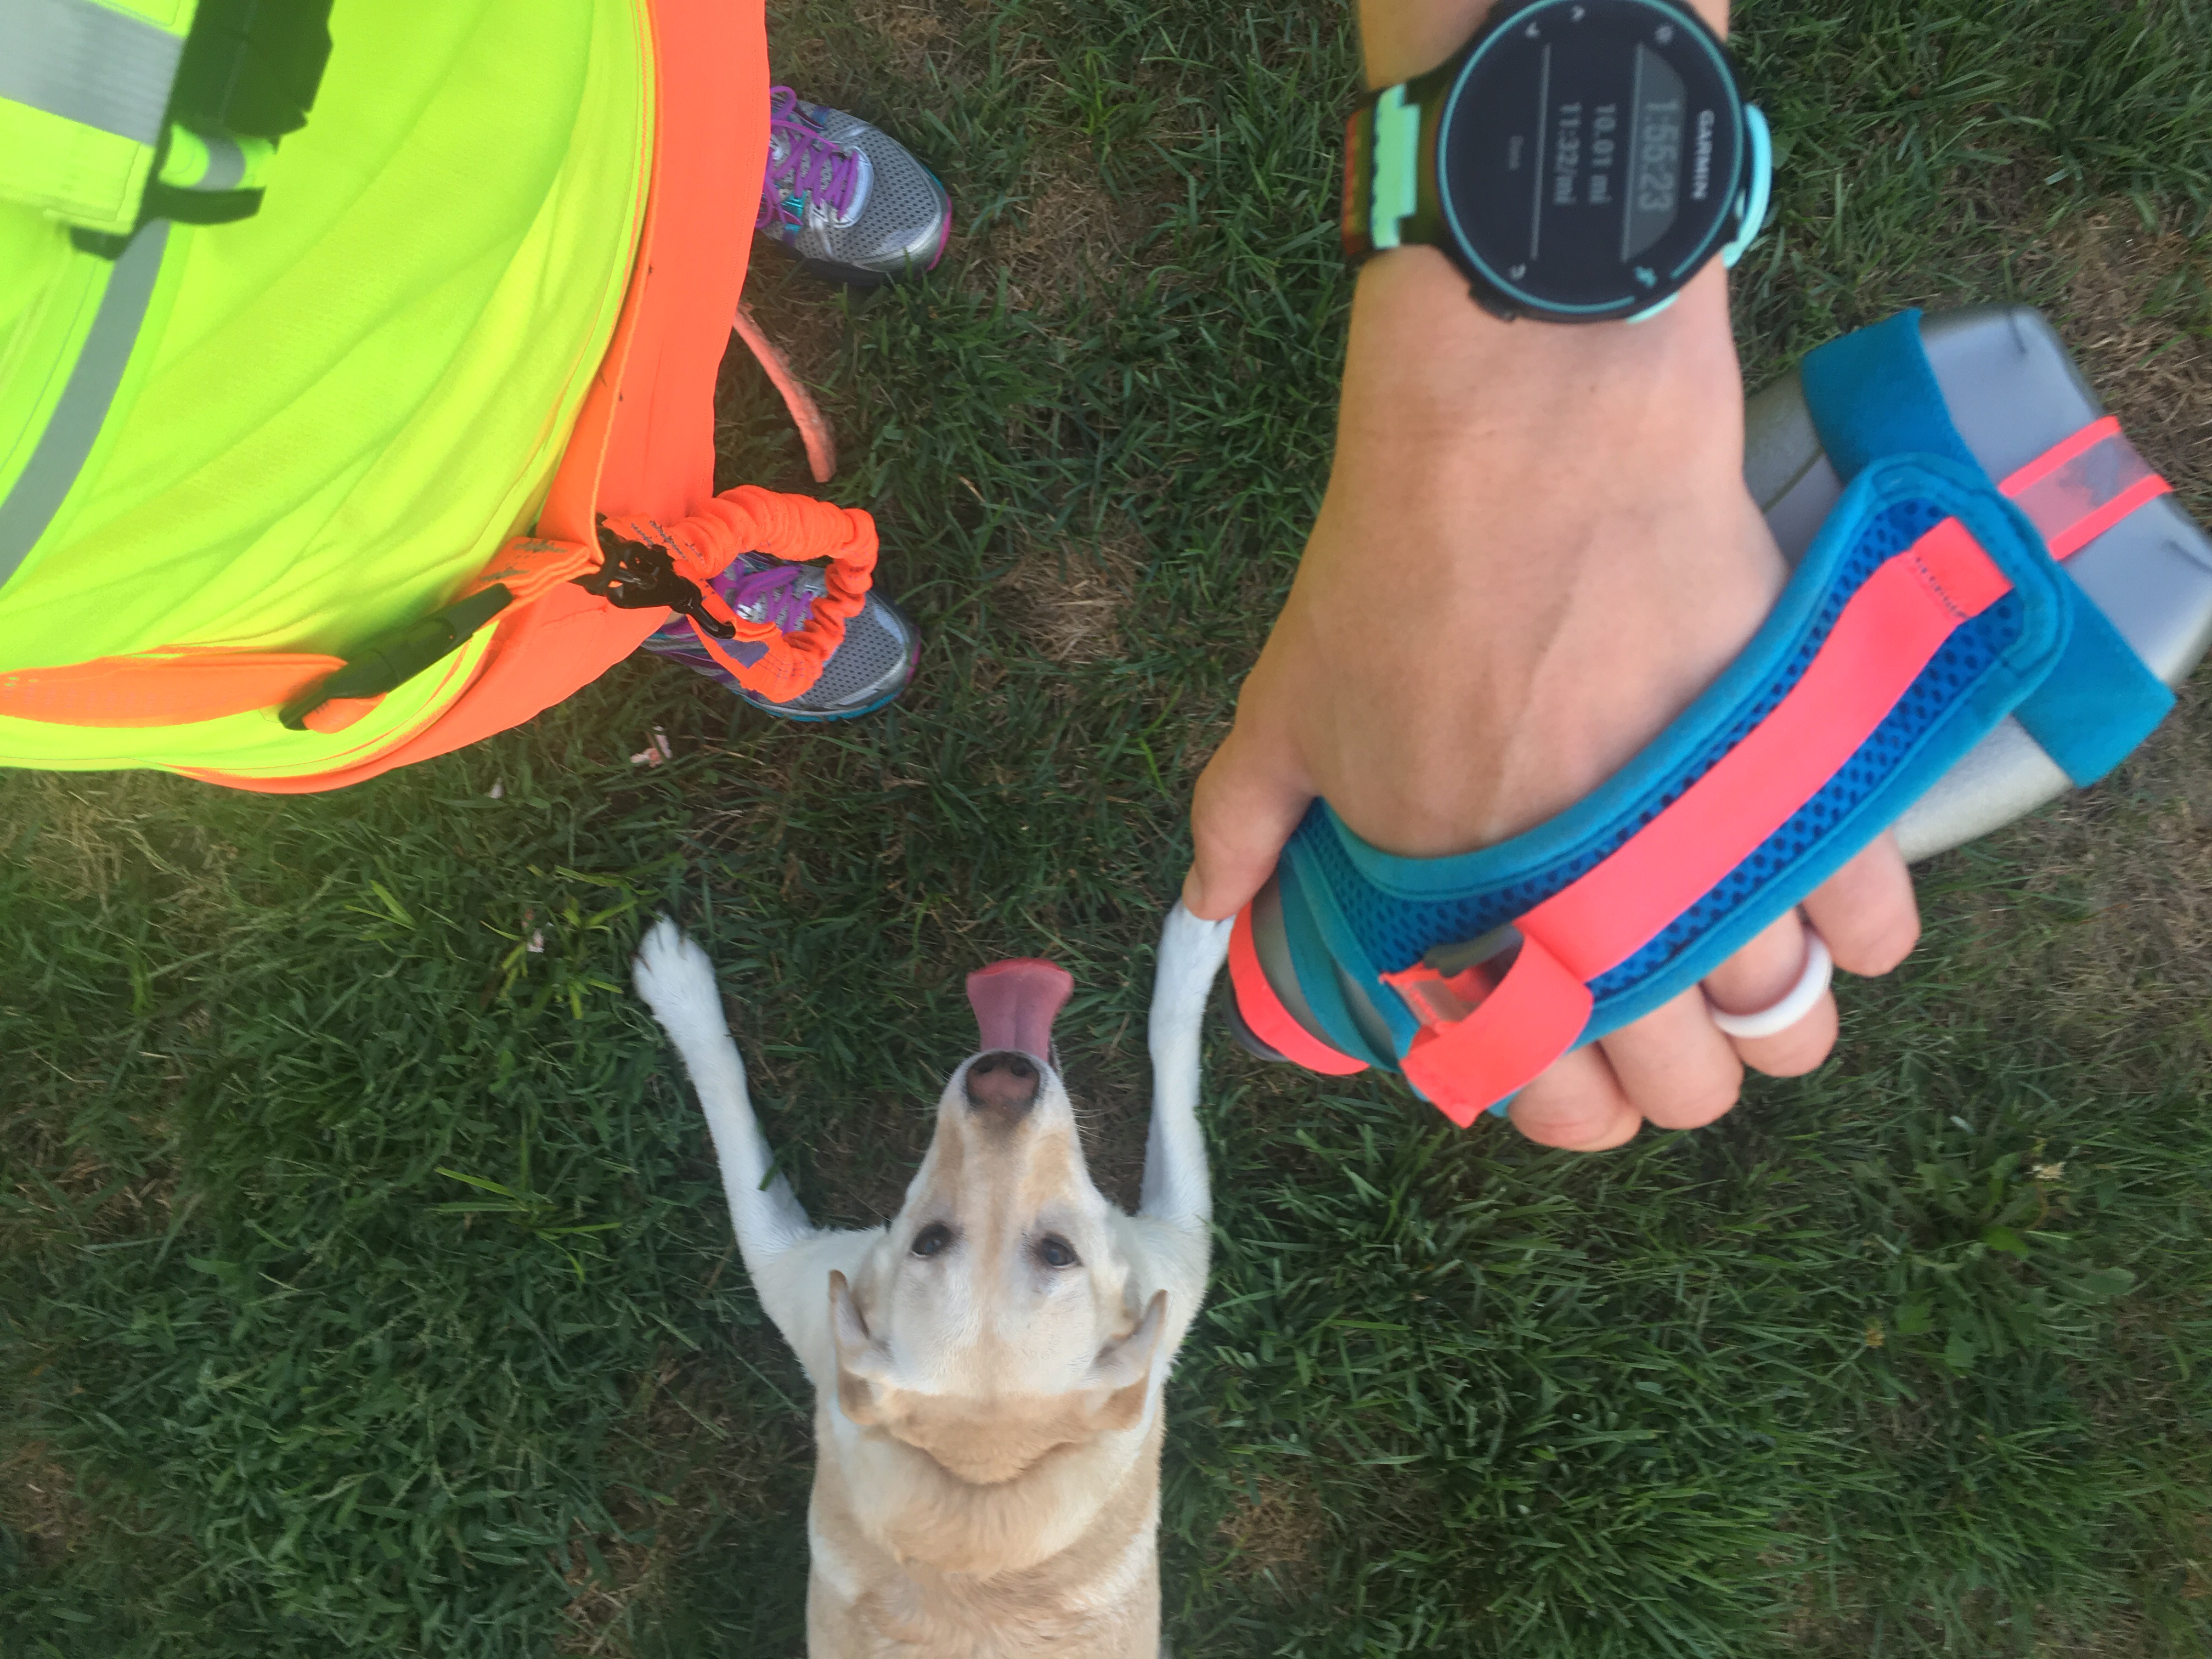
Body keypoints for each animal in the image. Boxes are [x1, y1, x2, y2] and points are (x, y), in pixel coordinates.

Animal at [632, 904, 1234, 1657]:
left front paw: (1197, 942)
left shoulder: (1178, 1253)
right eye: (931, 1240)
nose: (1002, 1078)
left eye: (1057, 1252)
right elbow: (725, 1091)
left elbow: (1173, 1054)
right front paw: (681, 991)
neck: (979, 1467)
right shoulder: (794, 1272)